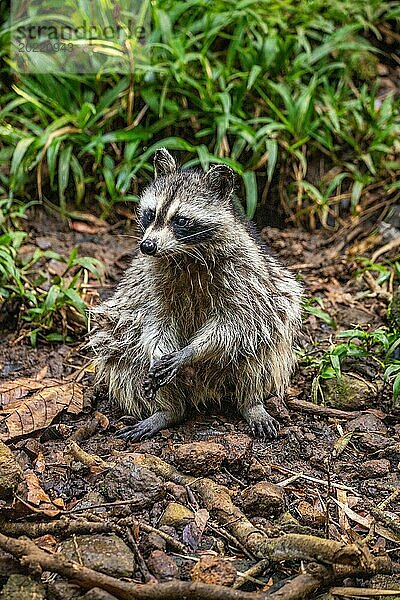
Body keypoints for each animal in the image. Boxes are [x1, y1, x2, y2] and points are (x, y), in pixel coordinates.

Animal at [89, 149, 302, 440]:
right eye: (151, 214)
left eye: (180, 220)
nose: (147, 246)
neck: (184, 254)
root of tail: (203, 389)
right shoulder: (150, 283)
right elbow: (155, 321)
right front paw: (158, 354)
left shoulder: (247, 277)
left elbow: (238, 323)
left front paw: (190, 351)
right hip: (121, 339)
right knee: (124, 355)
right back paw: (168, 410)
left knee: (260, 350)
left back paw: (251, 402)